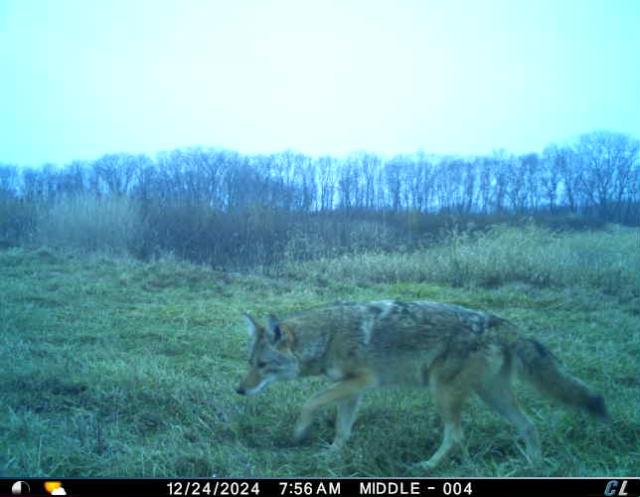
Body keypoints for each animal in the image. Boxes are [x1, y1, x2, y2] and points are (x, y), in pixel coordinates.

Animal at [236, 300, 608, 469]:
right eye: (249, 363)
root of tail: (502, 323)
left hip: (443, 394)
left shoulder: (363, 380)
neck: (327, 337)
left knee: (456, 435)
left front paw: (300, 433)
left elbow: (309, 402)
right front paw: (331, 454)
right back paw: (532, 466)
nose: (239, 390)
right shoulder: (352, 389)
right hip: (492, 396)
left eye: (262, 365)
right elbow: (342, 428)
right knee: (529, 425)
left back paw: (426, 466)